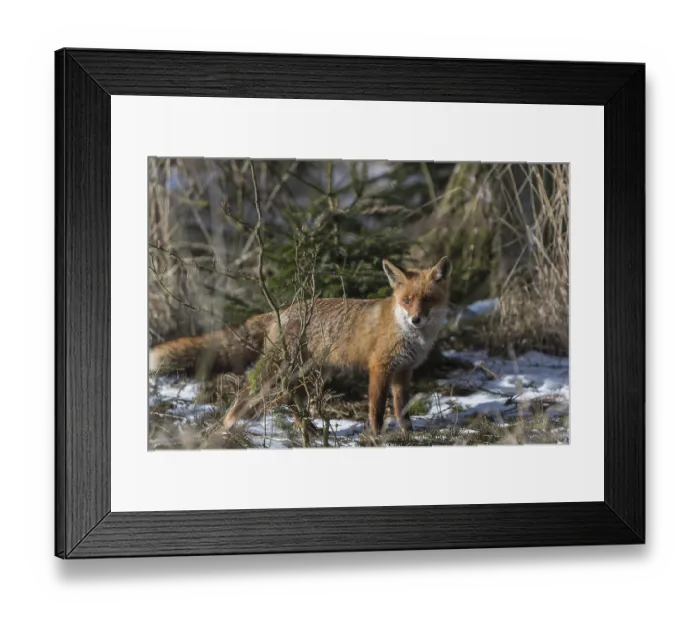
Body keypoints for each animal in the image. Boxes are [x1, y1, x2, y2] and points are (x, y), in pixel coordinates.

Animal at [149, 256, 453, 436]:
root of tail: (281, 310)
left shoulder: (404, 370)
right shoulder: (379, 367)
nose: (415, 319)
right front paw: (377, 437)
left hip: (301, 372)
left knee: (290, 399)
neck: (410, 335)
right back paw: (226, 429)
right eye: (407, 300)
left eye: (427, 300)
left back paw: (310, 430)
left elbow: (402, 407)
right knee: (245, 394)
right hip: (277, 369)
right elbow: (377, 409)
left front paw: (408, 433)